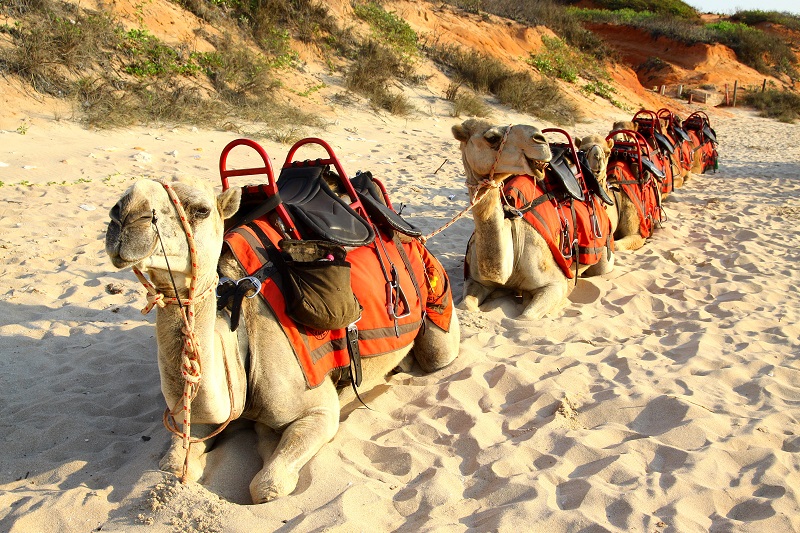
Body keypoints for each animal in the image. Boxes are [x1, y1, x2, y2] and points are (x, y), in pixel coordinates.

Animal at [103, 177, 460, 500]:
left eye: (201, 210)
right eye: (119, 201)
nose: (124, 215)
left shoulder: (318, 409)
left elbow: (267, 486)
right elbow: (174, 464)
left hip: (437, 303)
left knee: (437, 354)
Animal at [450, 119, 612, 320]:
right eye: (491, 137)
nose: (540, 139)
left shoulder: (555, 283)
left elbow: (526, 316)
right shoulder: (475, 280)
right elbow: (466, 305)